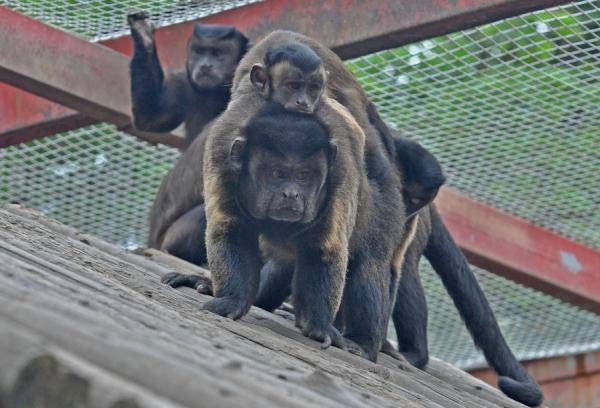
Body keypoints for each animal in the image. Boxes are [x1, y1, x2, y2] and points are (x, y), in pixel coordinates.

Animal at [126, 9, 248, 148]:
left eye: (217, 53)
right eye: (200, 51)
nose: (205, 65)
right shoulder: (182, 82)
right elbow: (149, 118)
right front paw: (143, 36)